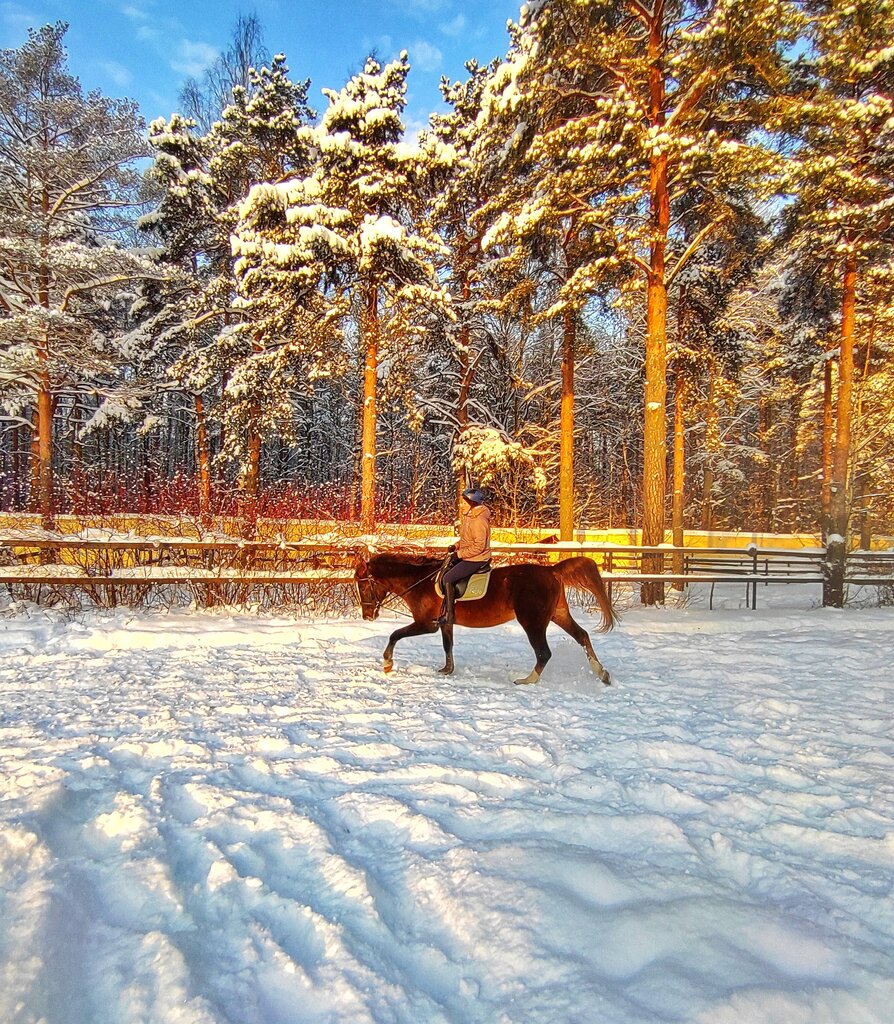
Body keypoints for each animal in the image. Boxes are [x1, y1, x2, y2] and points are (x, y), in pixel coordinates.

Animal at [354, 550, 617, 685]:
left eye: (363, 585)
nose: (367, 615)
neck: (420, 581)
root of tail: (551, 571)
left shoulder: (426, 624)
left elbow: (394, 635)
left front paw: (387, 663)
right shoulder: (445, 623)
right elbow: (448, 645)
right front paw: (447, 670)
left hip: (532, 621)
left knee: (544, 652)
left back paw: (527, 680)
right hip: (558, 615)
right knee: (582, 636)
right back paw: (602, 673)